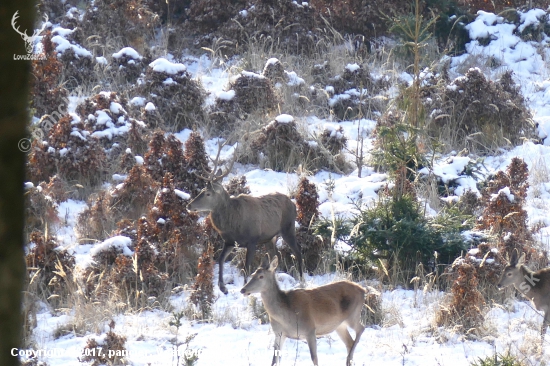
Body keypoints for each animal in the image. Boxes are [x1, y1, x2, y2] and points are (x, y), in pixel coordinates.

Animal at [188, 146, 304, 294]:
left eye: (208, 193)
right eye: (202, 189)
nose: (189, 205)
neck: (233, 223)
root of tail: (294, 204)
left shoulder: (252, 239)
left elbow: (246, 267)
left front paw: (244, 288)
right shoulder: (230, 241)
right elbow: (220, 260)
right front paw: (223, 287)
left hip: (288, 228)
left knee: (298, 251)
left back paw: (301, 280)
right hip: (271, 237)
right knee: (276, 255)